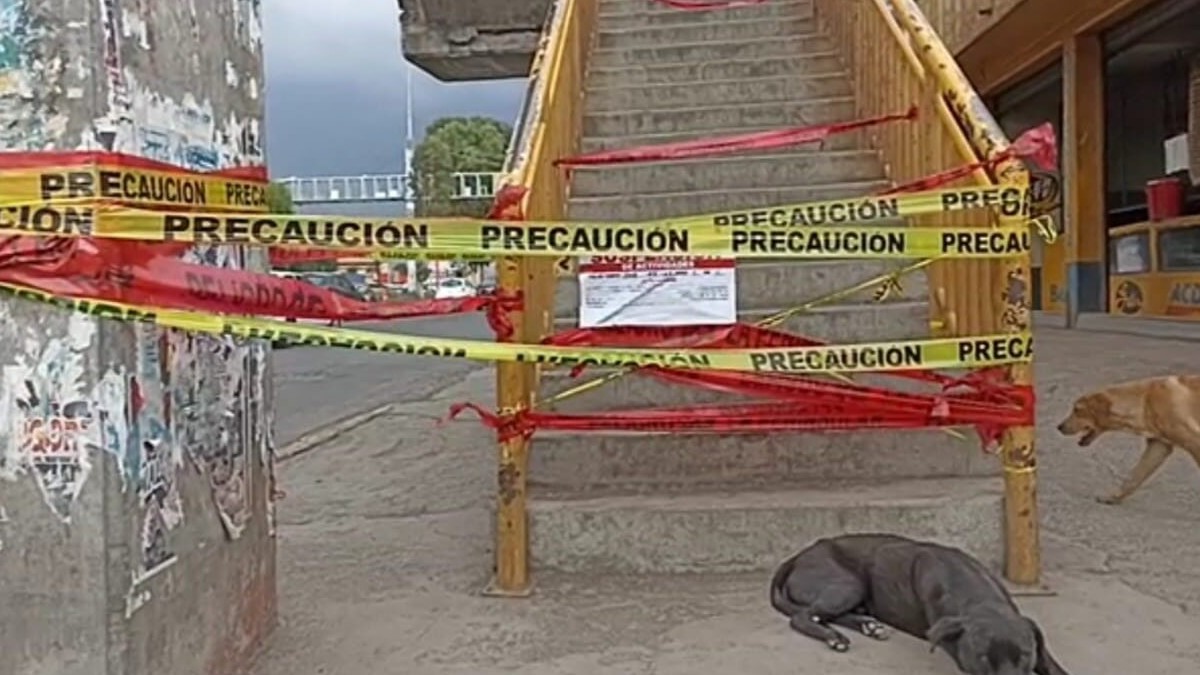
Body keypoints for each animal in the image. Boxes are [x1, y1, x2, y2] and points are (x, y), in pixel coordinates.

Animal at [768, 533, 1070, 667]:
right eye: (982, 658)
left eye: (1025, 656)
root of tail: (797, 556)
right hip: (847, 585)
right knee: (803, 616)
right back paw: (834, 637)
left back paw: (869, 626)